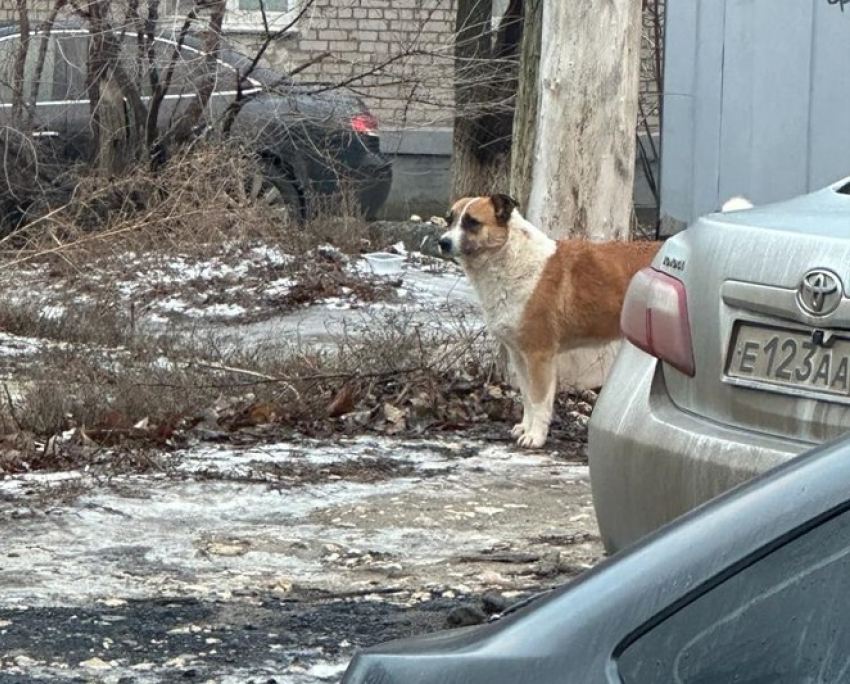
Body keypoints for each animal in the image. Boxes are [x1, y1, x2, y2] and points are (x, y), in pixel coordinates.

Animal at [438, 194, 664, 448]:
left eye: (472, 222)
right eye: (449, 219)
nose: (442, 242)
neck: (510, 257)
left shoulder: (539, 356)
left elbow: (538, 401)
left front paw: (535, 437)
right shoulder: (519, 356)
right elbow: (527, 397)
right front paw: (525, 428)